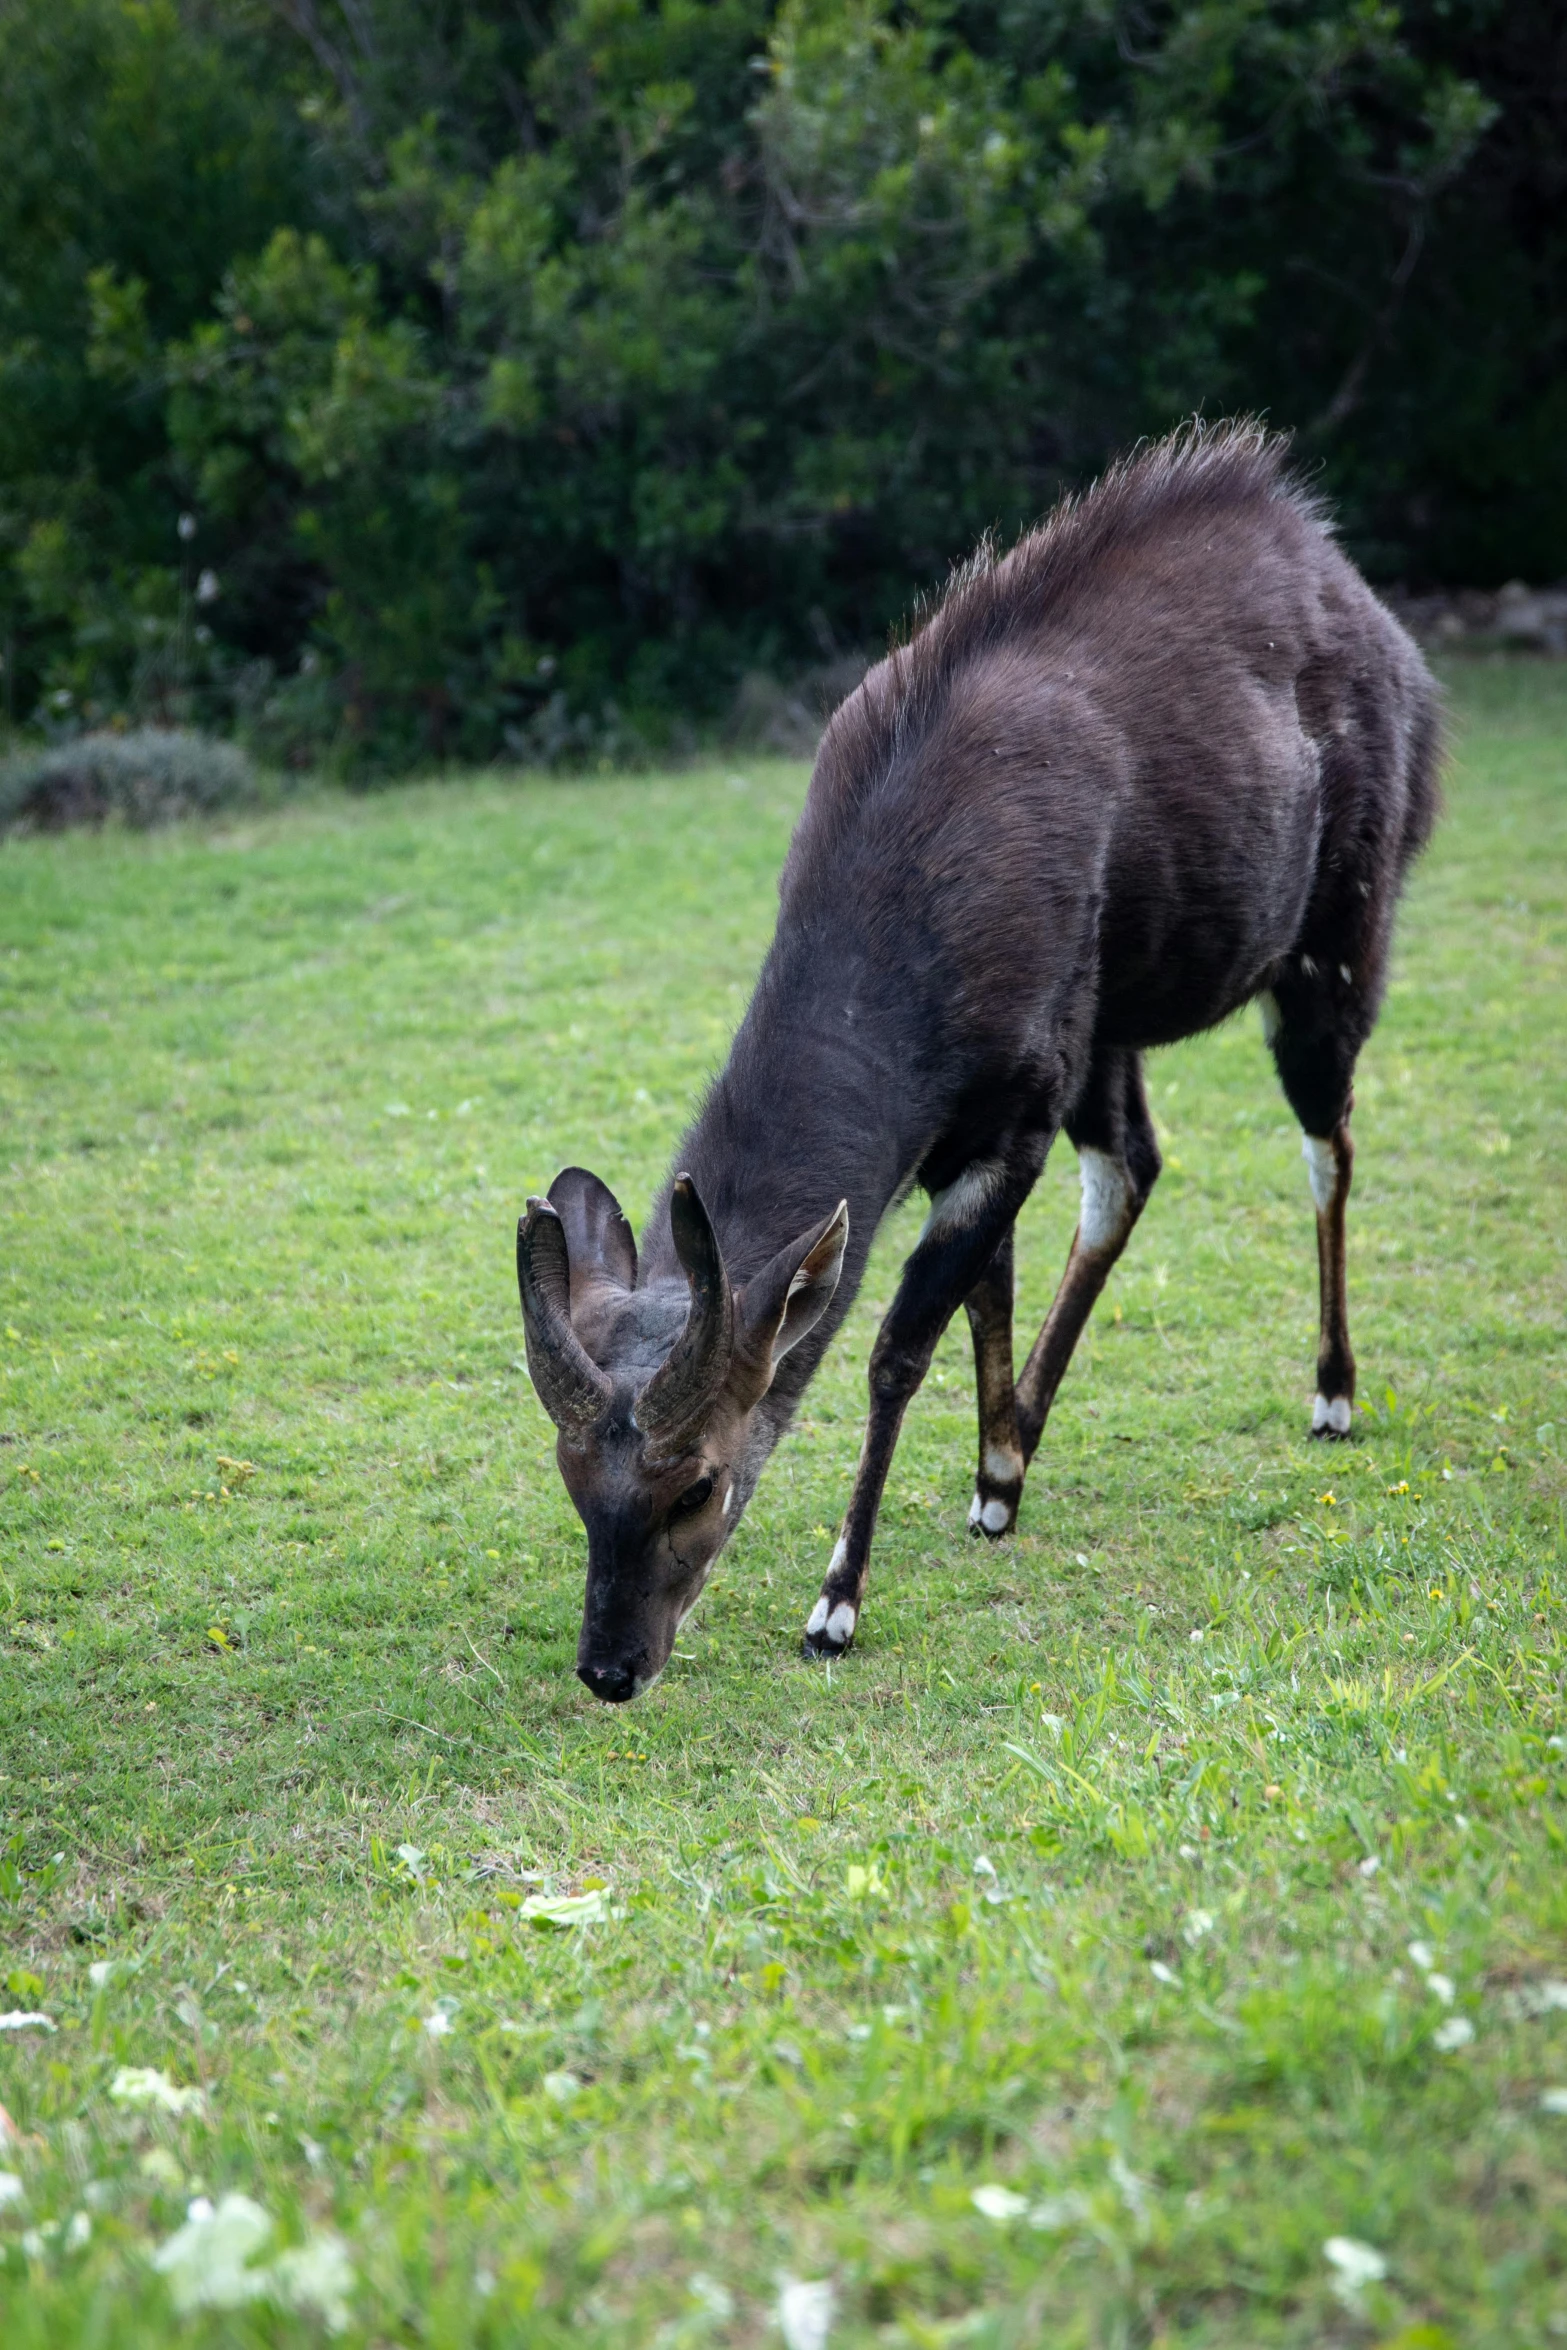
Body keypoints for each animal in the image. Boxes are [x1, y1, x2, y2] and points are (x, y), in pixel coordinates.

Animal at [521, 422, 1437, 1701]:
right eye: (572, 1480)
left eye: (696, 1480)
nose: (611, 1666)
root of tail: (1378, 621)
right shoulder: (1000, 1108)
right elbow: (985, 1290)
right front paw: (995, 1475)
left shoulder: (1014, 1112)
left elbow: (900, 1341)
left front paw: (836, 1601)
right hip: (1119, 1028)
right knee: (1135, 1166)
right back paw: (1011, 1464)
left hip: (1331, 950)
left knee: (1324, 1138)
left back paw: (1333, 1392)